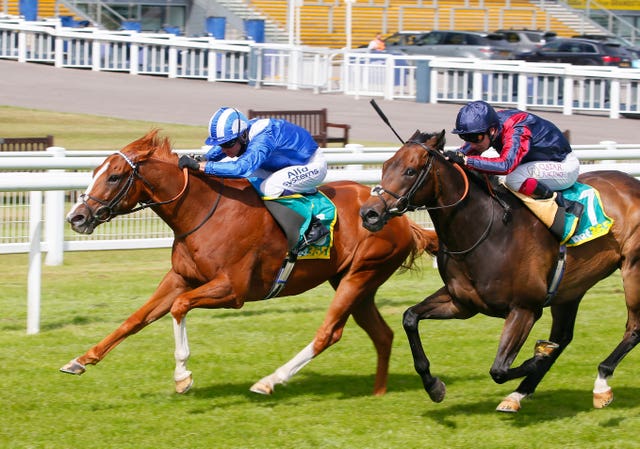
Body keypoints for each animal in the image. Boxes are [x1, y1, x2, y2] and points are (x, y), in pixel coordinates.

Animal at [61, 130, 440, 396]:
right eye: (94, 172)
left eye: (113, 177)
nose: (76, 217)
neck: (203, 211)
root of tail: (401, 218)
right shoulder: (180, 278)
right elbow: (136, 319)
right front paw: (79, 360)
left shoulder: (233, 290)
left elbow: (180, 307)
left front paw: (183, 376)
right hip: (355, 282)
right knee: (382, 334)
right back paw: (378, 392)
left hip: (360, 275)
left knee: (328, 333)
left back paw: (270, 381)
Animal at [360, 129, 640, 410]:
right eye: (385, 166)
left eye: (410, 171)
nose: (369, 213)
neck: (487, 232)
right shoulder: (462, 303)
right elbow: (410, 317)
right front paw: (433, 386)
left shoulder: (525, 309)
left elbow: (499, 369)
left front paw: (538, 357)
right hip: (571, 289)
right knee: (563, 336)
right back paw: (520, 392)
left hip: (632, 269)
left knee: (633, 329)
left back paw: (601, 383)